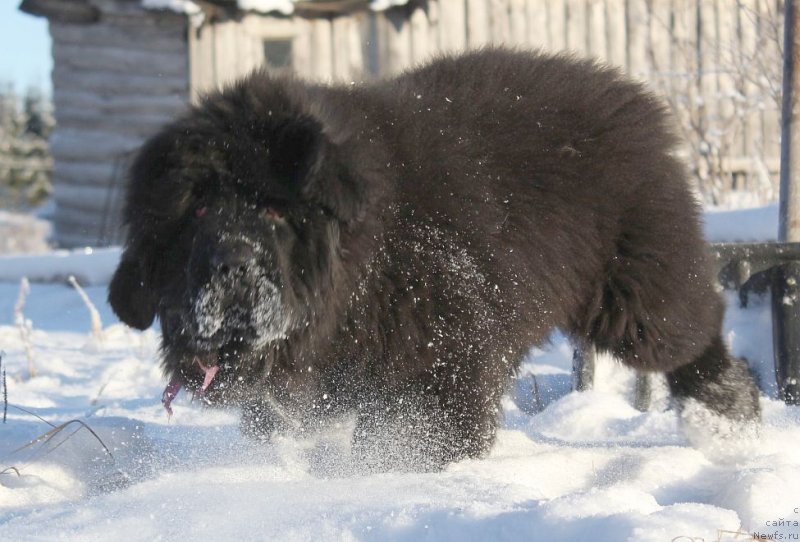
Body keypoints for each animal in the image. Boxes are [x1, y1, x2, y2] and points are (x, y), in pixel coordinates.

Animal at [109, 47, 760, 472]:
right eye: (195, 210)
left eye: (272, 210)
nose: (232, 264)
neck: (360, 258)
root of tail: (629, 97)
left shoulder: (443, 346)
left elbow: (413, 428)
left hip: (633, 286)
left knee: (689, 332)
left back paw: (728, 418)